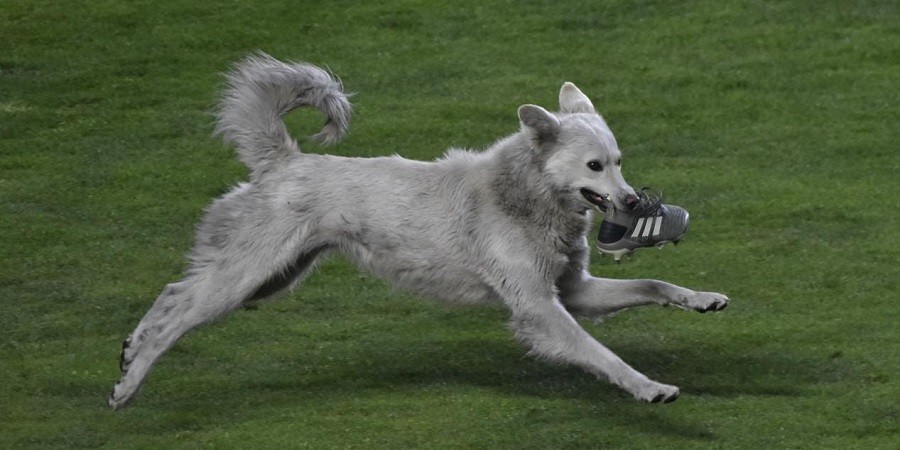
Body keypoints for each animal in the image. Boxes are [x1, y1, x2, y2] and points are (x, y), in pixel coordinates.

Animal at [109, 51, 732, 410]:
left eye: (619, 162)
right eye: (595, 166)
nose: (632, 201)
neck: (524, 196)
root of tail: (284, 161)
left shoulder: (573, 292)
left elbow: (653, 286)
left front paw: (702, 299)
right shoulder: (540, 309)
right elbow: (604, 356)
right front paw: (650, 388)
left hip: (270, 278)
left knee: (174, 293)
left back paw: (129, 350)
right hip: (247, 276)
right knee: (177, 312)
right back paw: (128, 383)